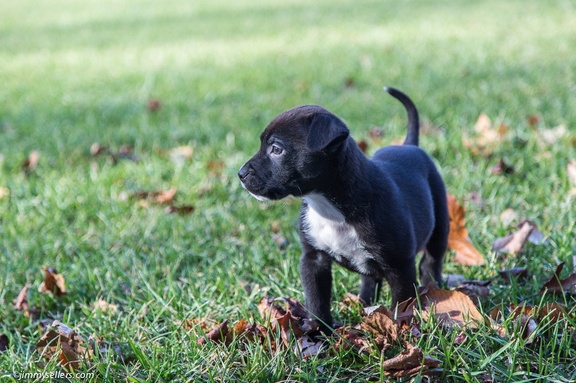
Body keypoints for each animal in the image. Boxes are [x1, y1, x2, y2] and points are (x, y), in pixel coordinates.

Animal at [238, 88, 450, 332]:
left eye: (276, 149)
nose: (240, 173)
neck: (330, 208)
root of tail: (409, 145)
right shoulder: (314, 259)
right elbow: (317, 299)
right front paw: (319, 331)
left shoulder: (400, 267)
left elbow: (401, 304)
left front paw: (399, 330)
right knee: (370, 278)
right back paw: (364, 304)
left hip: (440, 225)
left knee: (430, 263)